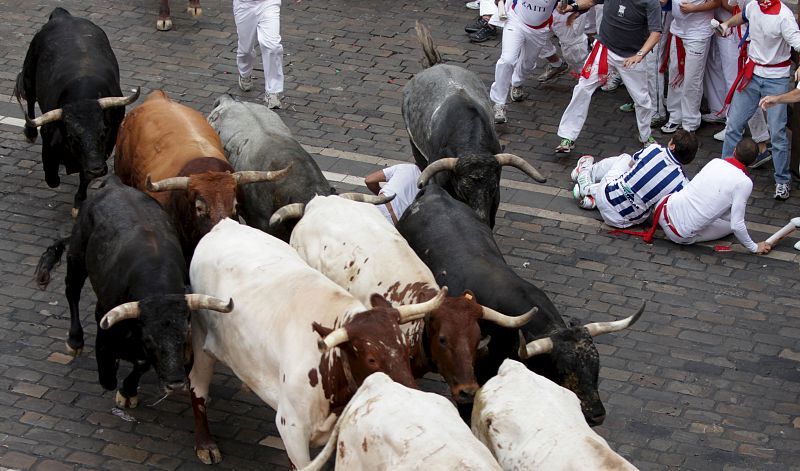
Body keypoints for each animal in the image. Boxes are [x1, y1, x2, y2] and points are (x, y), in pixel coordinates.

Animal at [14, 7, 138, 216]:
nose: (97, 170)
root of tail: (63, 15)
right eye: (72, 136)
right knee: (29, 99)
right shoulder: (49, 143)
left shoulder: (101, 151)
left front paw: (79, 203)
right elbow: (51, 177)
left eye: (103, 132)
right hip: (30, 74)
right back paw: (30, 133)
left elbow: (84, 177)